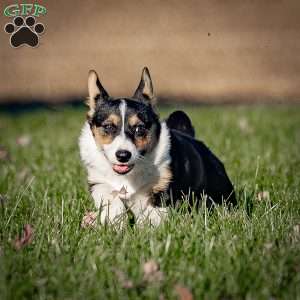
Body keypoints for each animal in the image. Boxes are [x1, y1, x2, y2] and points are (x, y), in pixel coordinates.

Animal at [79, 68, 237, 226]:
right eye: (108, 127)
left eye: (139, 128)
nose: (123, 156)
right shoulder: (98, 182)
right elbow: (111, 199)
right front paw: (115, 223)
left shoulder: (163, 188)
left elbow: (152, 212)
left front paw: (143, 226)